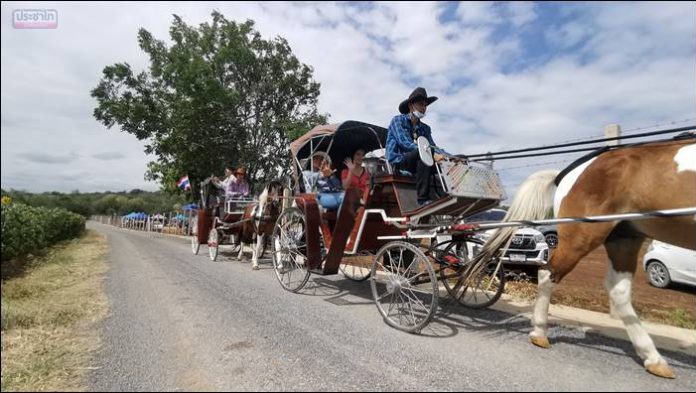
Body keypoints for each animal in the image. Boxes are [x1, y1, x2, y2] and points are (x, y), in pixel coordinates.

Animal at [478, 136, 696, 378]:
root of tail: (572, 171)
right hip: (584, 234)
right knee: (549, 272)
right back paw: (540, 331)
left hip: (624, 236)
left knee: (617, 289)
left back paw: (652, 357)